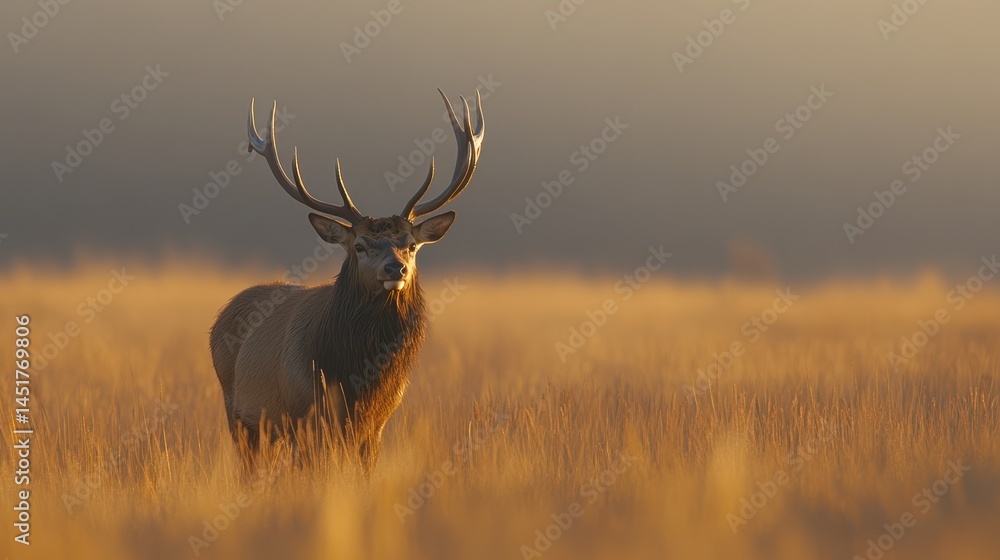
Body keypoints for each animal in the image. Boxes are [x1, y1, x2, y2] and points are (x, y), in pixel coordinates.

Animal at [209, 90, 484, 472]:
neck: (358, 377)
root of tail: (222, 315)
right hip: (238, 413)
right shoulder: (305, 414)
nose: (395, 269)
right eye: (360, 245)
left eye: (411, 245)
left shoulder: (376, 423)